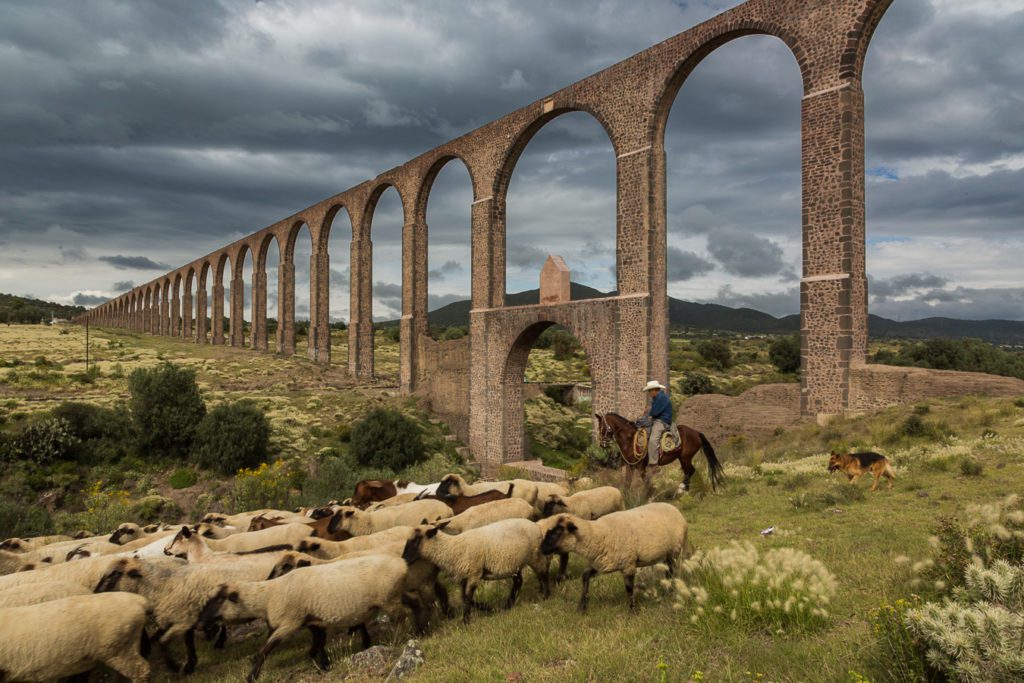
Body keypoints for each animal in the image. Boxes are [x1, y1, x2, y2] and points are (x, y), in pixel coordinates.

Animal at [193, 552, 417, 679]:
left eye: (219, 599)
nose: (200, 622)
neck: (268, 596)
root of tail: (401, 563)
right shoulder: (311, 620)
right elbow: (318, 642)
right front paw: (323, 664)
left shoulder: (290, 622)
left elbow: (265, 650)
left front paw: (251, 676)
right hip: (395, 594)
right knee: (417, 602)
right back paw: (421, 627)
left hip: (389, 598)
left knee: (401, 618)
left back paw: (402, 638)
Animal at [401, 518, 552, 626]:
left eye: (415, 540)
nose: (404, 559)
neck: (452, 549)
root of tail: (536, 526)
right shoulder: (465, 576)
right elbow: (464, 597)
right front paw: (488, 608)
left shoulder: (474, 572)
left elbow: (468, 597)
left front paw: (465, 621)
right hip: (514, 563)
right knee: (518, 581)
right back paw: (508, 605)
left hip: (534, 555)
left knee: (542, 572)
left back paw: (546, 595)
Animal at [536, 501, 688, 614]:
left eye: (559, 531)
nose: (541, 548)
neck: (597, 535)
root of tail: (675, 508)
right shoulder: (599, 564)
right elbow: (584, 577)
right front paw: (582, 607)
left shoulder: (628, 564)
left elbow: (629, 588)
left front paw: (633, 611)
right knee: (668, 571)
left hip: (674, 551)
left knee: (671, 572)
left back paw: (670, 591)